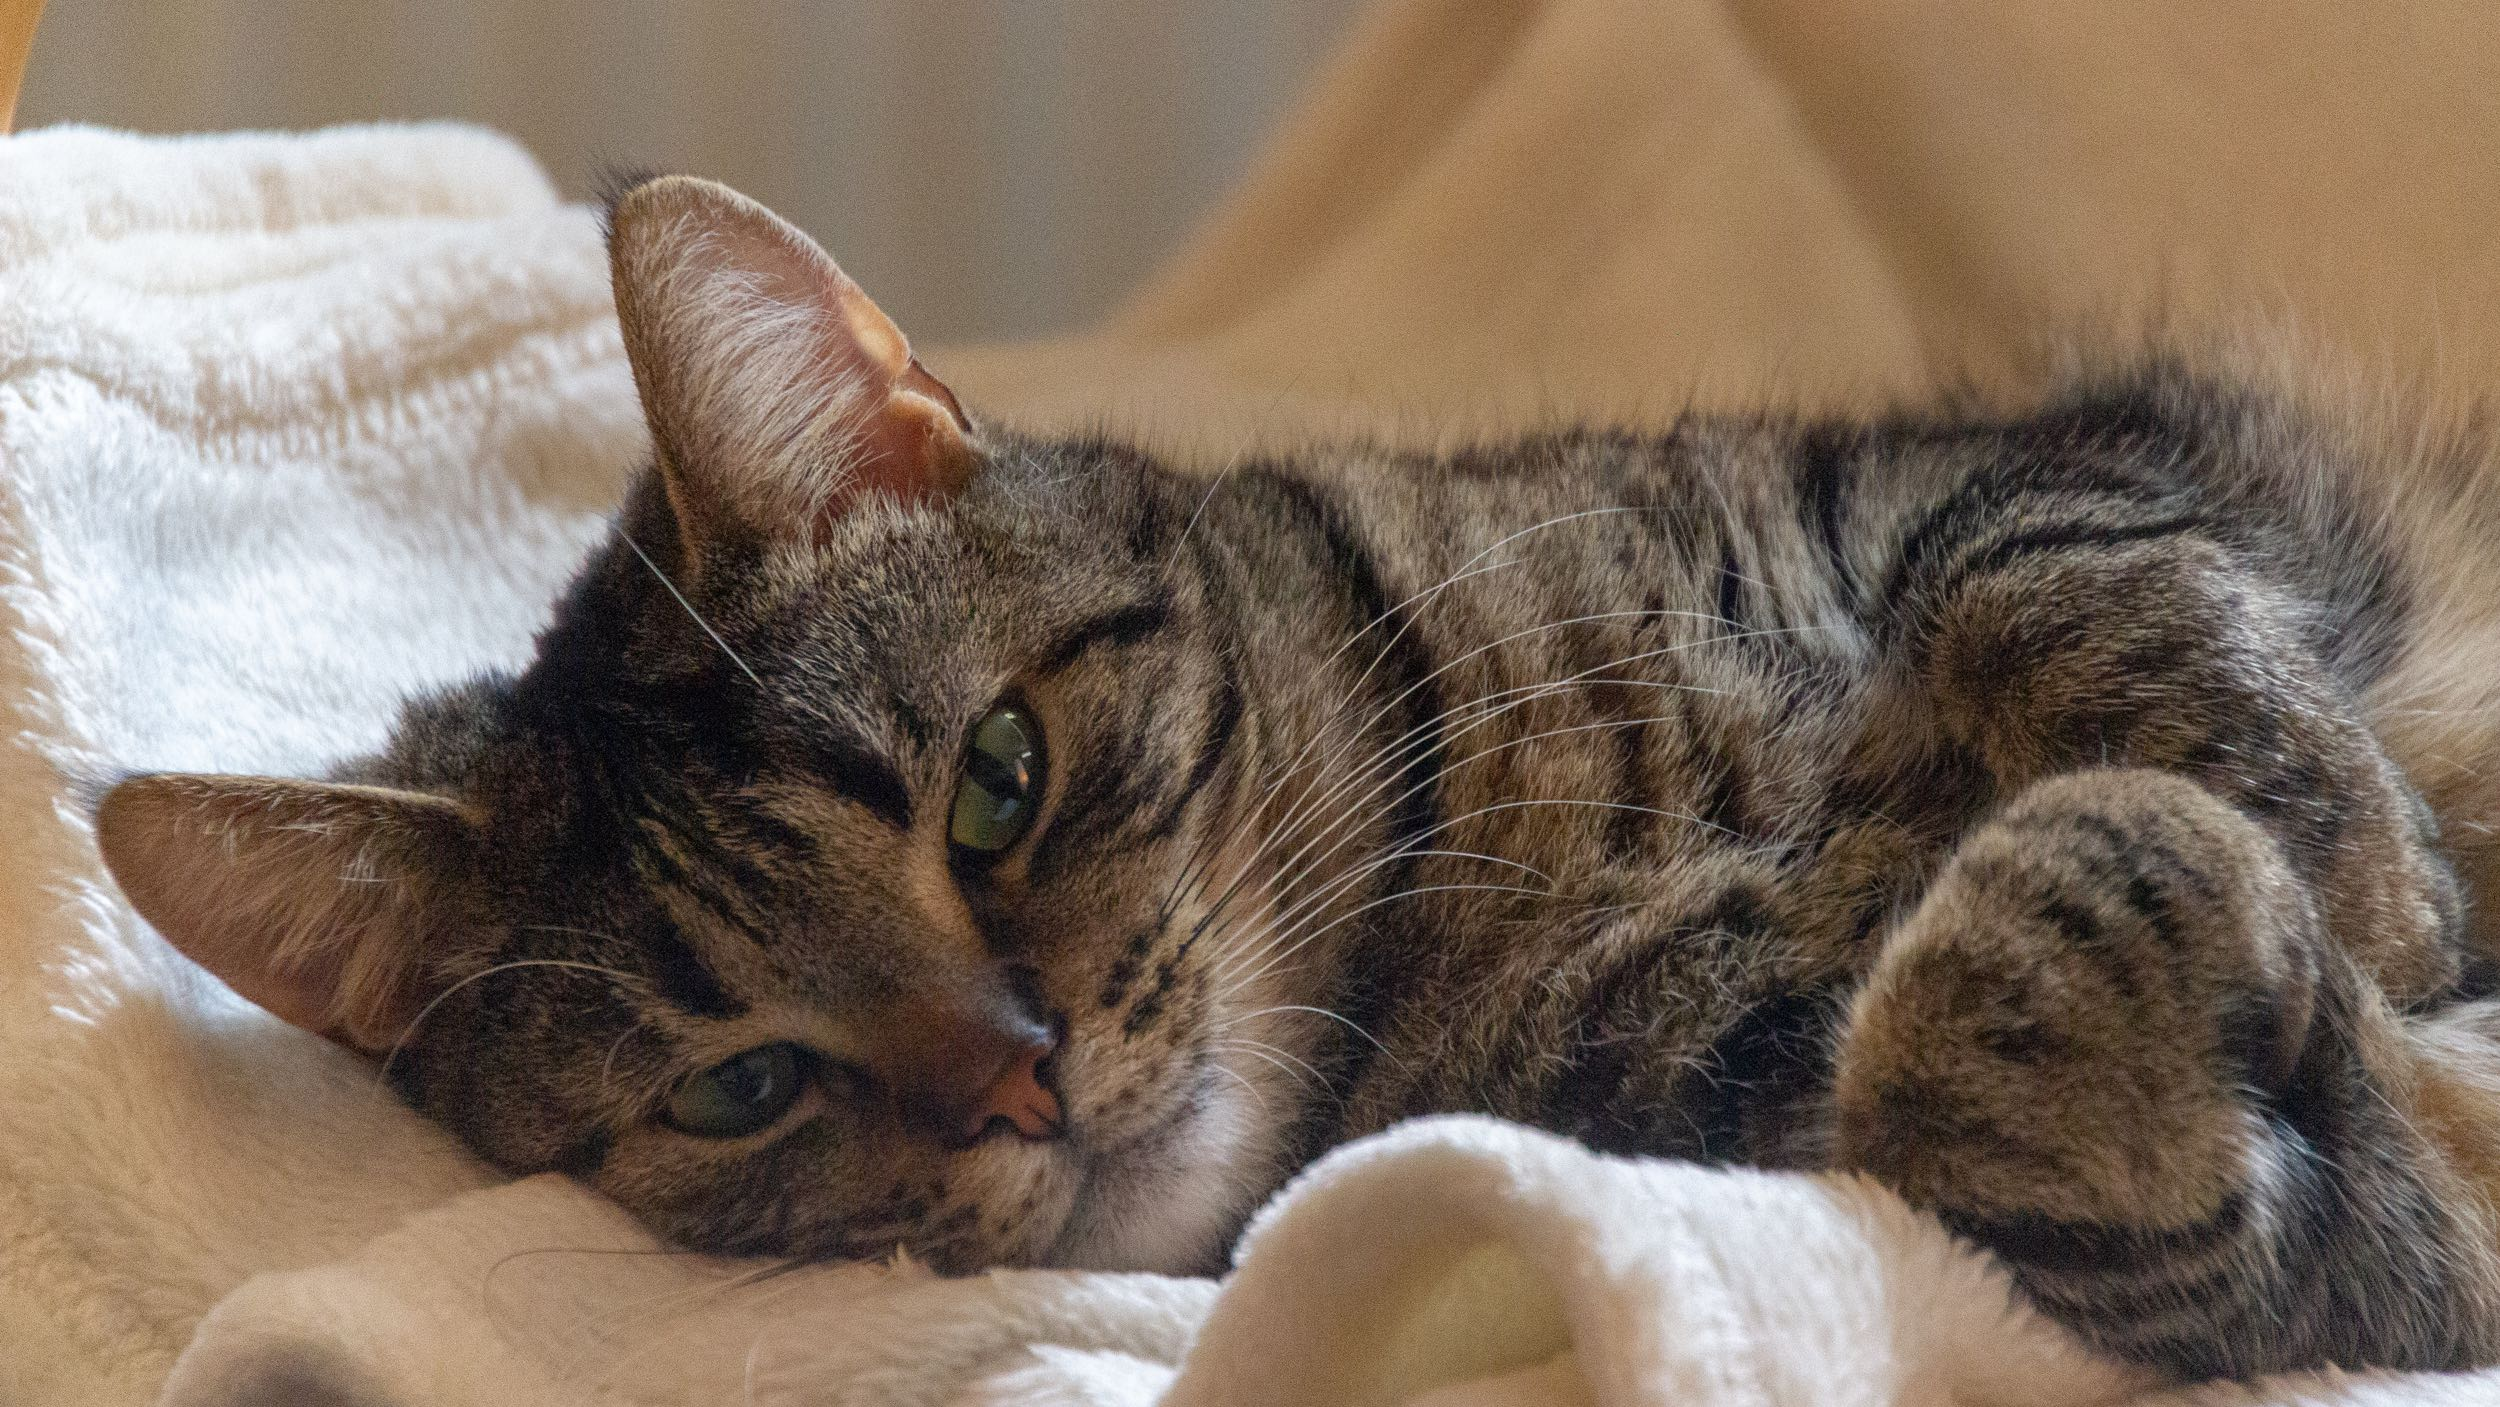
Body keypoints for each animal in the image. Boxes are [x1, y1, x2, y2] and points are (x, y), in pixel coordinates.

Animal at [92, 173, 2500, 1379]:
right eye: (739, 1084)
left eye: (994, 782)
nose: (1020, 1077)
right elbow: (2073, 1133)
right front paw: (2112, 918)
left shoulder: (2007, 463)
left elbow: (2059, 571)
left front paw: (2338, 840)